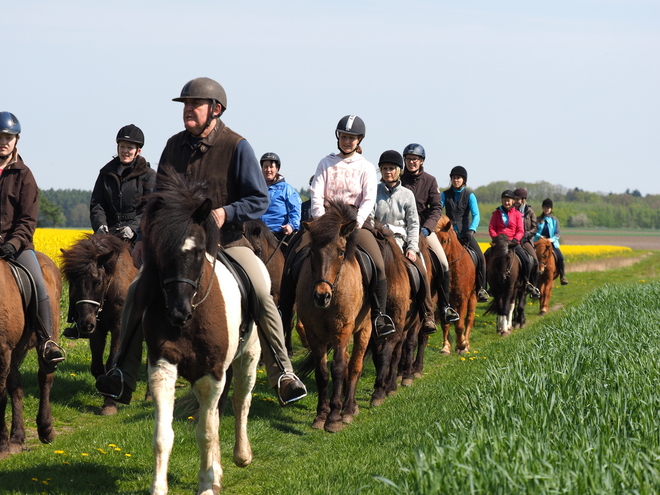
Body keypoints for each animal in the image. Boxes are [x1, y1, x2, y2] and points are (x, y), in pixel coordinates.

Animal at [0, 254, 62, 456]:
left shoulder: (3, 351)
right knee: (16, 386)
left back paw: (46, 429)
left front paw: (1, 444)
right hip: (16, 351)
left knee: (45, 378)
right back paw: (17, 437)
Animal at [60, 234, 137, 416]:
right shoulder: (97, 330)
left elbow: (112, 364)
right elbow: (96, 367)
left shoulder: (119, 329)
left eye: (98, 282)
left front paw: (110, 403)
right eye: (73, 283)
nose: (84, 324)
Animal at [138, 170, 260, 495]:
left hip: (248, 358)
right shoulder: (163, 367)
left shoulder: (212, 374)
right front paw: (160, 487)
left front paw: (205, 483)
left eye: (196, 252)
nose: (178, 312)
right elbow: (163, 435)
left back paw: (241, 455)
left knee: (241, 400)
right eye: (159, 251)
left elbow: (205, 431)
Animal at [298, 202, 374, 434]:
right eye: (313, 252)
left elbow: (339, 368)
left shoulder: (342, 330)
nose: (321, 296)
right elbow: (322, 372)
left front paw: (333, 418)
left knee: (355, 365)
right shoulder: (314, 334)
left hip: (364, 329)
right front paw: (321, 415)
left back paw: (348, 409)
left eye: (341, 252)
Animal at [434, 217, 474, 356]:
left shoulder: (462, 298)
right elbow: (445, 324)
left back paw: (466, 343)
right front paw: (446, 347)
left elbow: (460, 325)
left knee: (469, 319)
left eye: (445, 240)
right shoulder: (442, 301)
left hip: (473, 297)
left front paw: (462, 345)